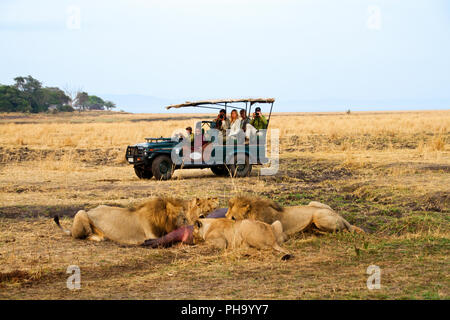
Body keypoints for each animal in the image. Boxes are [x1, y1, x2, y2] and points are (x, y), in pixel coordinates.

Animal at [227, 195, 364, 235]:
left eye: (233, 218)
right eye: (226, 215)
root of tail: (340, 216)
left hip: (318, 216)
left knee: (342, 231)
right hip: (313, 203)